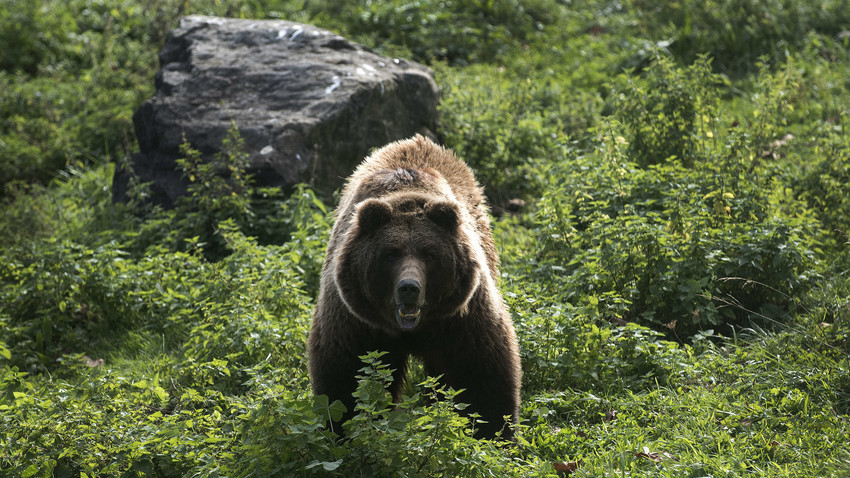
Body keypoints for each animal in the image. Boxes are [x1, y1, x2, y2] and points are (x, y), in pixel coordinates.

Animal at [304, 136, 516, 438]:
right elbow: (347, 380)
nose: (409, 287)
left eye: (429, 254)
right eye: (390, 255)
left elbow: (481, 374)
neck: (413, 330)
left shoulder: (461, 318)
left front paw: (493, 433)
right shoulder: (355, 321)